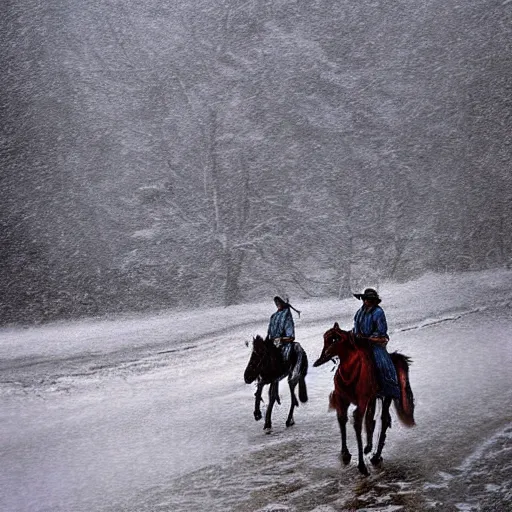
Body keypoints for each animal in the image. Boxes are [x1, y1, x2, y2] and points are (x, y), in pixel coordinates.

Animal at [312, 324, 416, 476]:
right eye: (325, 338)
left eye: (335, 340)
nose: (320, 359)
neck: (349, 374)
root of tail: (395, 358)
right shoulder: (342, 399)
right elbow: (342, 420)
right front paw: (345, 454)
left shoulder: (361, 402)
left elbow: (357, 425)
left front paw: (362, 465)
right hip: (373, 397)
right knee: (371, 419)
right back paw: (369, 448)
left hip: (387, 396)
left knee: (384, 420)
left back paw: (376, 456)